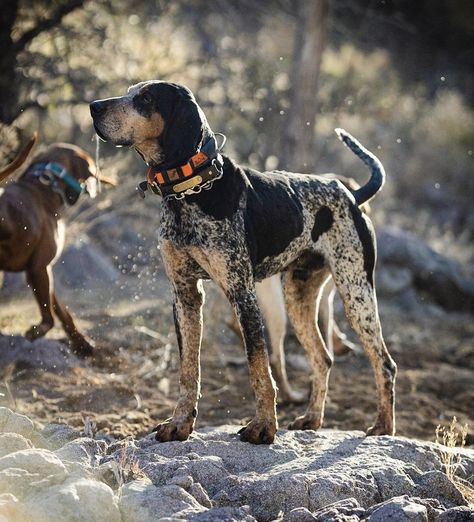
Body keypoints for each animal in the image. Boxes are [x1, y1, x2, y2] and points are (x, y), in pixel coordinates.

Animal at [0, 138, 112, 354]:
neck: (44, 187)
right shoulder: (38, 269)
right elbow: (49, 318)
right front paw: (36, 332)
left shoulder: (44, 271)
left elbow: (62, 312)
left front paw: (81, 342)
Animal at [89, 81, 396, 442]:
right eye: (129, 91)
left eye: (146, 98)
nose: (94, 107)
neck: (190, 189)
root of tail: (351, 194)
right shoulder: (185, 295)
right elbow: (188, 370)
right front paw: (180, 422)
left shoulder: (242, 293)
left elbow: (258, 367)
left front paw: (263, 426)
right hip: (299, 296)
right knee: (323, 358)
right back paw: (312, 418)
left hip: (355, 293)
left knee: (384, 363)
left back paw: (384, 426)